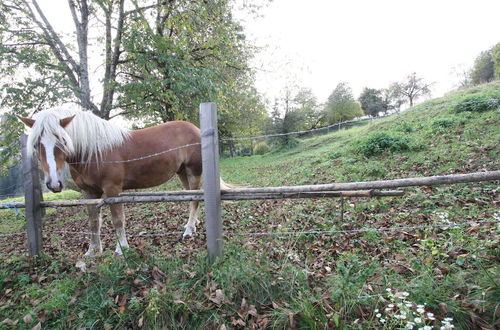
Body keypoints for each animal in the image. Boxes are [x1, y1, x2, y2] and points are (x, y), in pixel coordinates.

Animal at [18, 107, 205, 256]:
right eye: (36, 144)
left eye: (62, 140)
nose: (54, 184)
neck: (94, 152)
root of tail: (196, 129)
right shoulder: (89, 192)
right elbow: (94, 222)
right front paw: (93, 251)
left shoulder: (113, 190)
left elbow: (118, 220)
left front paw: (121, 248)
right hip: (182, 173)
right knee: (191, 198)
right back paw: (192, 224)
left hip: (193, 172)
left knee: (195, 200)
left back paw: (189, 231)